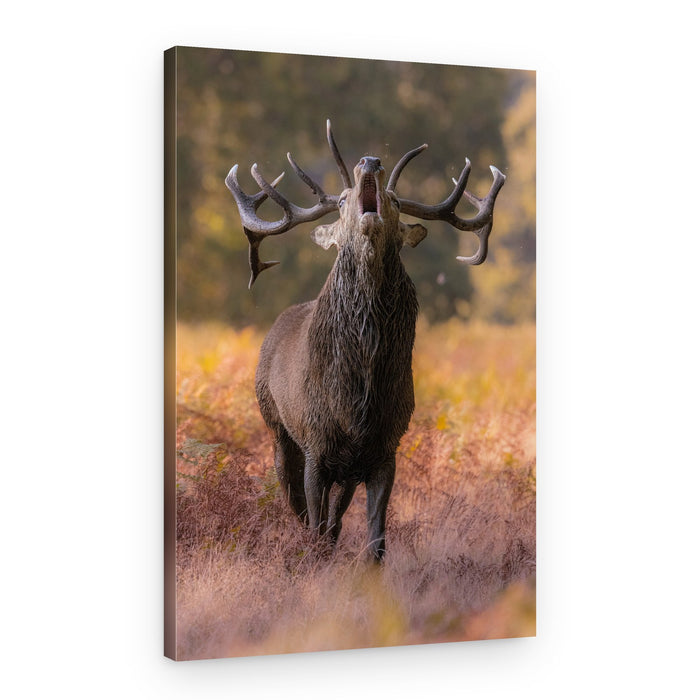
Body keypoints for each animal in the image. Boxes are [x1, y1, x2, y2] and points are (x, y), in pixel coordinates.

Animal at [225, 120, 505, 561]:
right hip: (276, 426)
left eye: (394, 200)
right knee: (299, 505)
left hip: (349, 467)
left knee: (337, 517)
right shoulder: (316, 446)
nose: (370, 160)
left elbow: (375, 543)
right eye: (341, 200)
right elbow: (315, 529)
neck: (358, 400)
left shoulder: (385, 449)